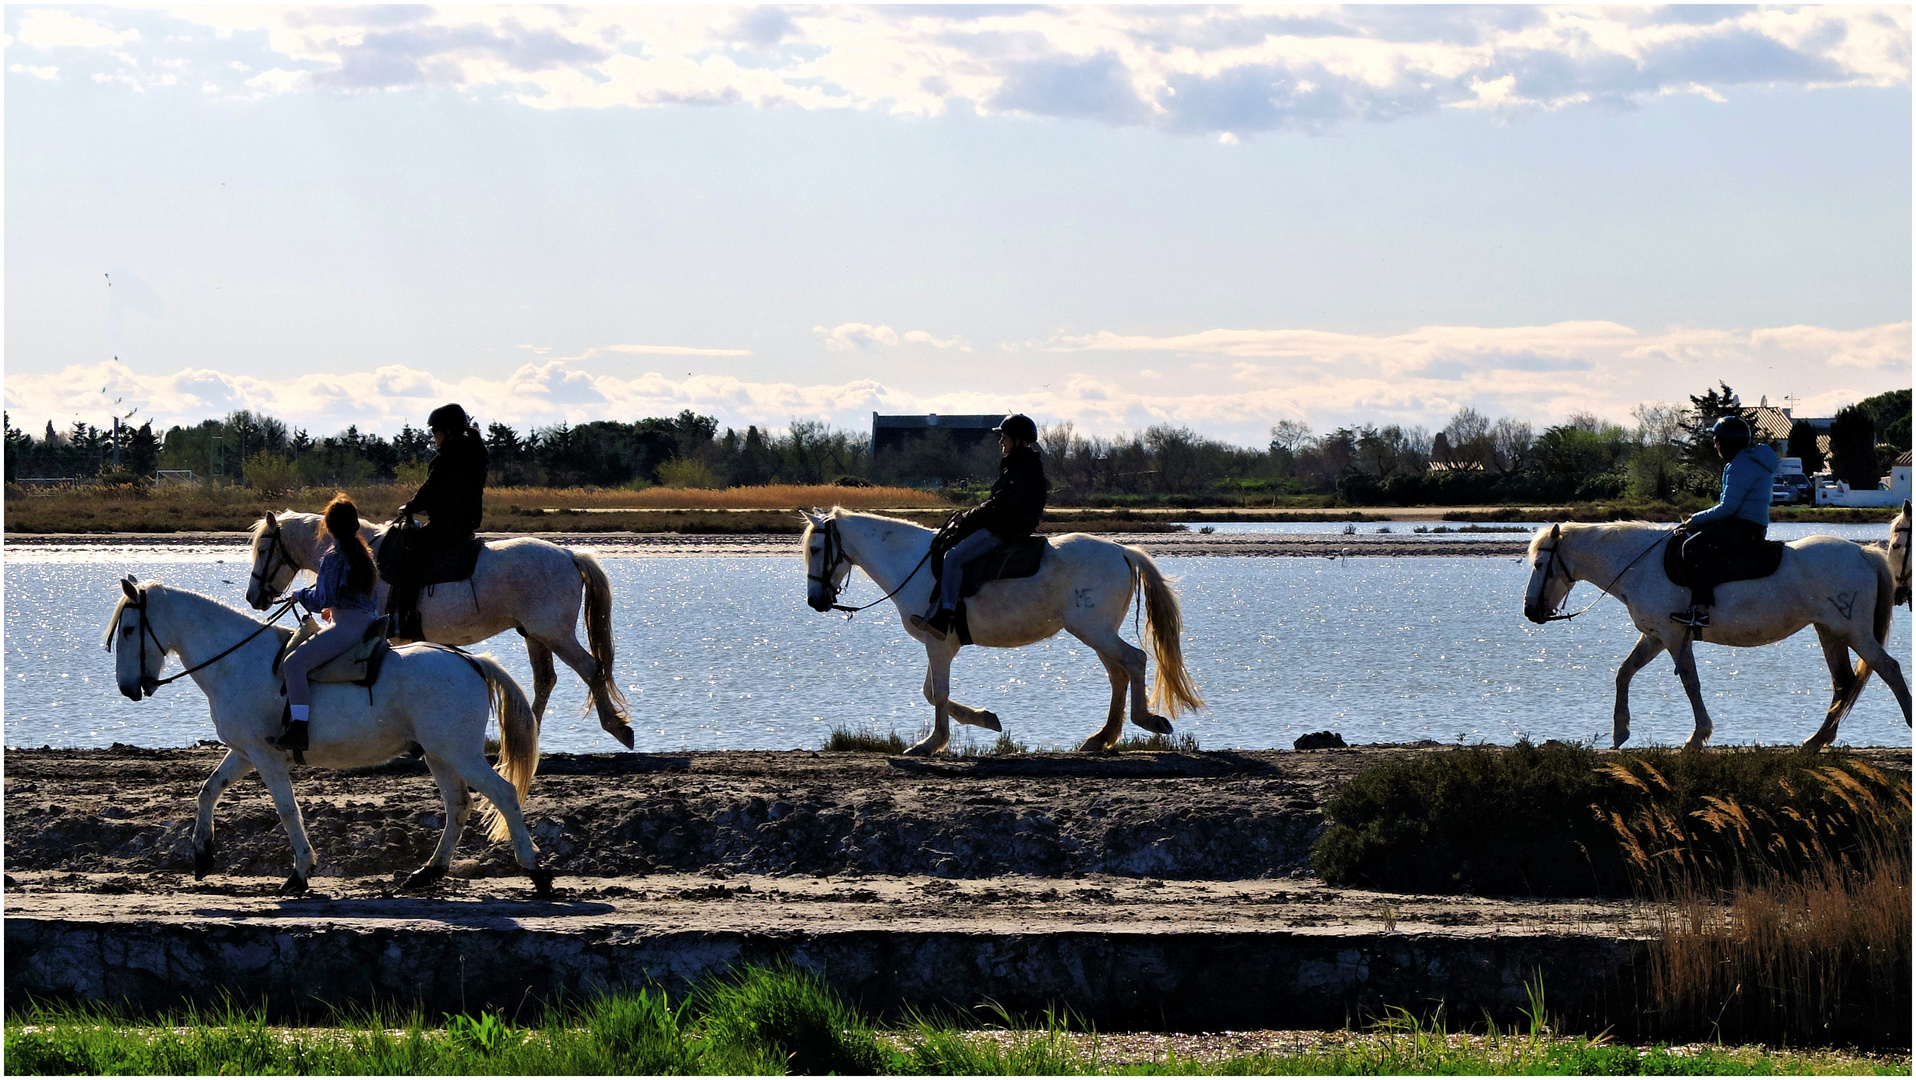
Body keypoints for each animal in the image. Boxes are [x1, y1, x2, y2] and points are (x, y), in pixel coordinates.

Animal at [109, 578, 551, 900]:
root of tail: (472, 661)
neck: (236, 663)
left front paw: (299, 874)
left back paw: (535, 872)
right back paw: (428, 872)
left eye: (129, 629)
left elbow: (287, 811)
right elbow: (208, 790)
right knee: (458, 806)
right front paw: (202, 855)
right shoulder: (245, 752)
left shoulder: (265, 757)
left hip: (459, 754)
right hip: (439, 755)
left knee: (503, 794)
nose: (128, 689)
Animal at [243, 509, 636, 746]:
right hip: (536, 635)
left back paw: (617, 727)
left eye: (263, 550)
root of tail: (570, 555)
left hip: (554, 634)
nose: (253, 597)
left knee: (590, 668)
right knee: (545, 680)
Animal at [797, 509, 1195, 754]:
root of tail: (1122, 550)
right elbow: (930, 693)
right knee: (1119, 673)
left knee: (1135, 660)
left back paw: (1147, 720)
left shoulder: (938, 645)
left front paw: (932, 743)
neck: (916, 564)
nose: (816, 601)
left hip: (1095, 631)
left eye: (816, 548)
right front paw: (984, 719)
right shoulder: (938, 644)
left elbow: (938, 693)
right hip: (1097, 633)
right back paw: (1102, 737)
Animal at [1517, 524, 1908, 750]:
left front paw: (1697, 736)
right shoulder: (1656, 636)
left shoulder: (1674, 636)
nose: (1530, 611)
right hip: (1830, 632)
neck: (1640, 565)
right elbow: (1624, 672)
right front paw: (1620, 731)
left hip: (1853, 632)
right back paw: (1816, 741)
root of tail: (1861, 551)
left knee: (1889, 668)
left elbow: (1690, 682)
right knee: (1843, 682)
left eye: (1539, 565)